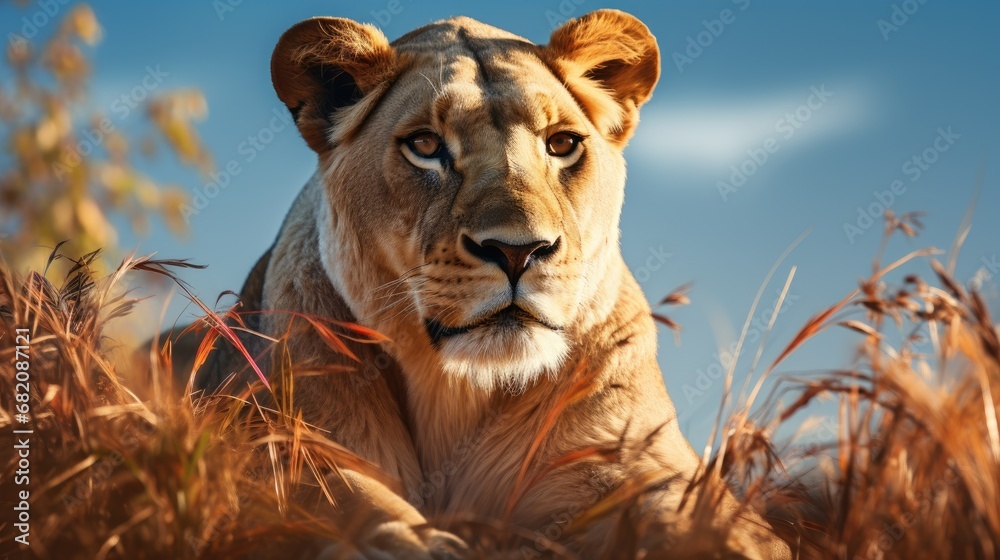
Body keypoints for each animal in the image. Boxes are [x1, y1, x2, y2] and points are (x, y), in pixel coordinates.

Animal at [167, 10, 792, 559]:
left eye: (562, 145)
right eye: (425, 146)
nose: (518, 251)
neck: (459, 393)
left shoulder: (638, 458)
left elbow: (699, 517)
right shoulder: (274, 442)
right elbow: (337, 497)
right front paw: (409, 544)